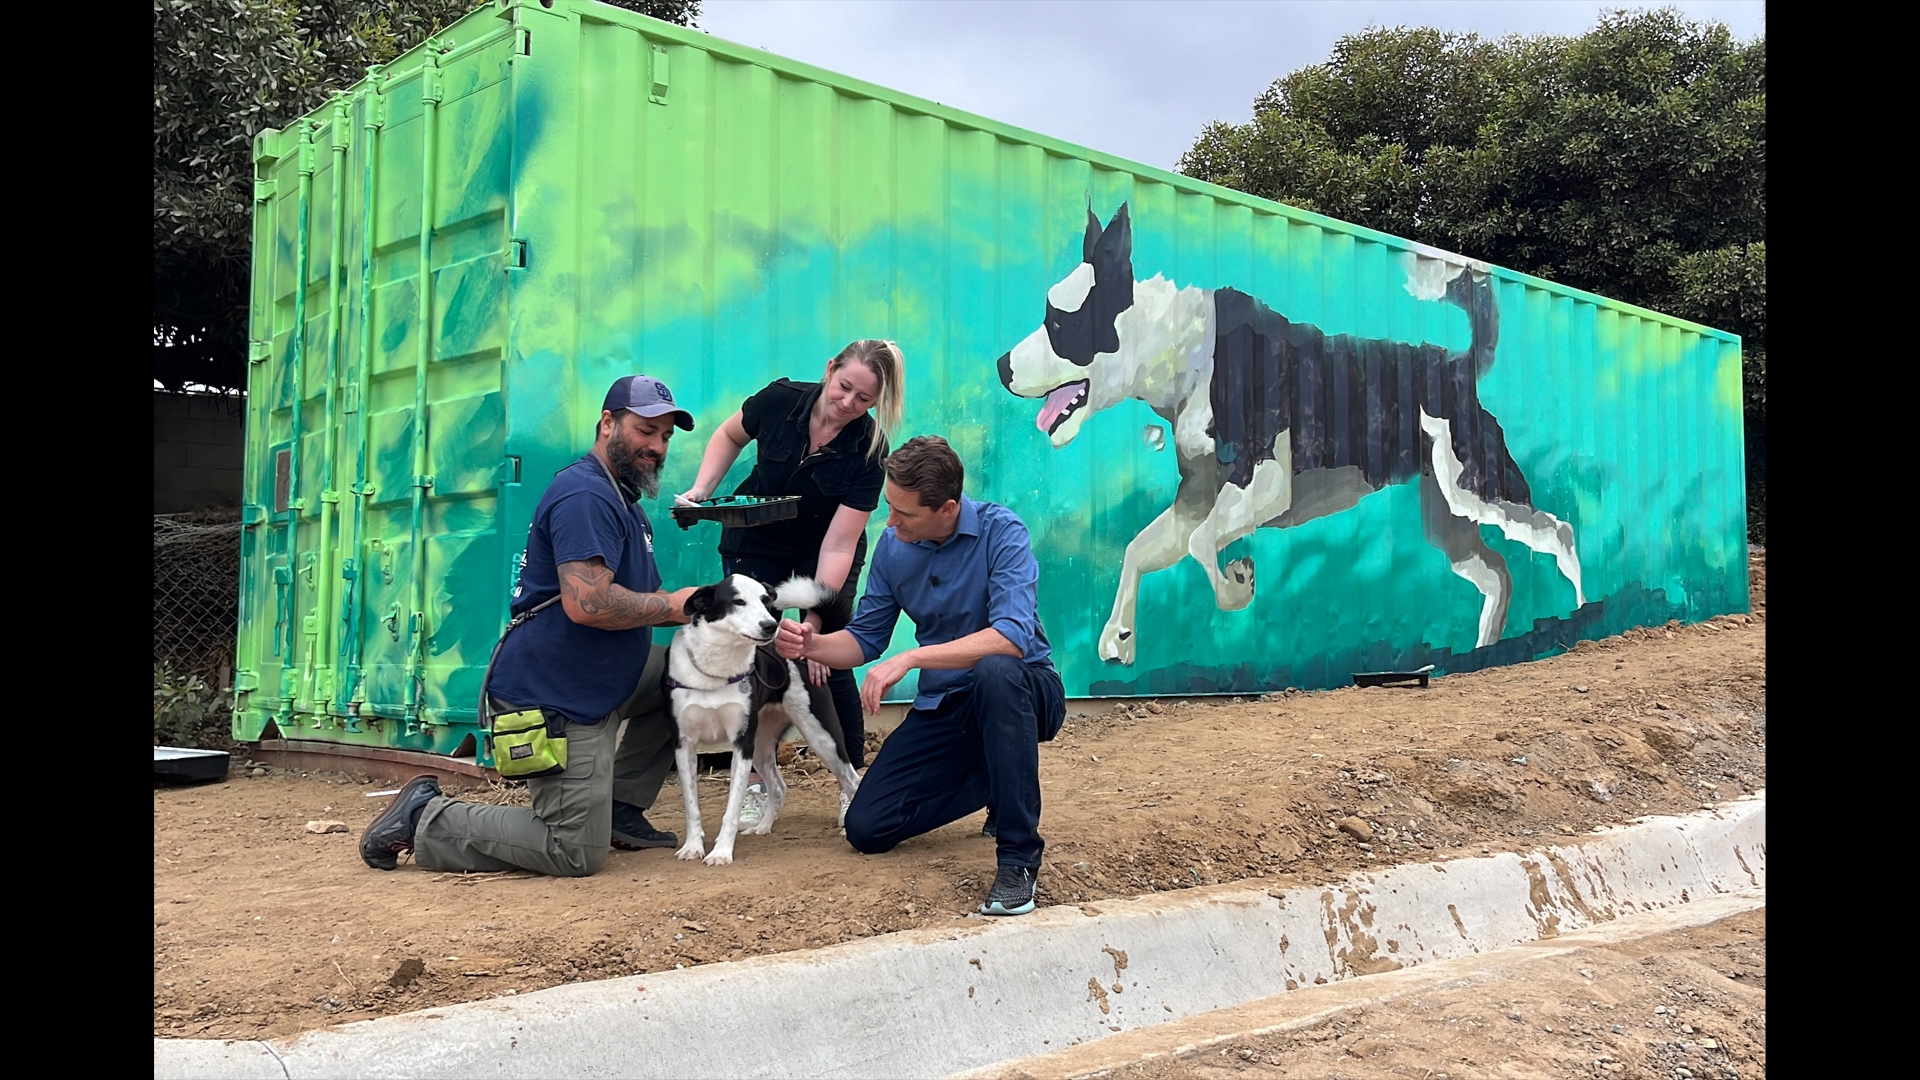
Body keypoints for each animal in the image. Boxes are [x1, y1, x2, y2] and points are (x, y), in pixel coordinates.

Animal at [668, 572, 864, 864]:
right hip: (761, 747)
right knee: (779, 787)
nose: (771, 626)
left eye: (765, 600)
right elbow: (691, 807)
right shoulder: (684, 746)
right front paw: (692, 846)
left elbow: (732, 808)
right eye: (738, 601)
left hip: (822, 737)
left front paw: (721, 852)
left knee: (852, 780)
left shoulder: (742, 745)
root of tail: (806, 645)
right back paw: (762, 827)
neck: (718, 668)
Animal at [998, 197, 1582, 661]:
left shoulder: (1263, 485)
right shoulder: (1195, 500)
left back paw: (1580, 615)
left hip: (1478, 488)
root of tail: (1459, 365)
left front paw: (1238, 585)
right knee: (1498, 573)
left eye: (1058, 322)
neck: (1184, 352)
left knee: (1562, 532)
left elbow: (1203, 547)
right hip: (1449, 519)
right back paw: (1484, 649)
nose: (1002, 366)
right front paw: (1119, 635)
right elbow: (1138, 549)